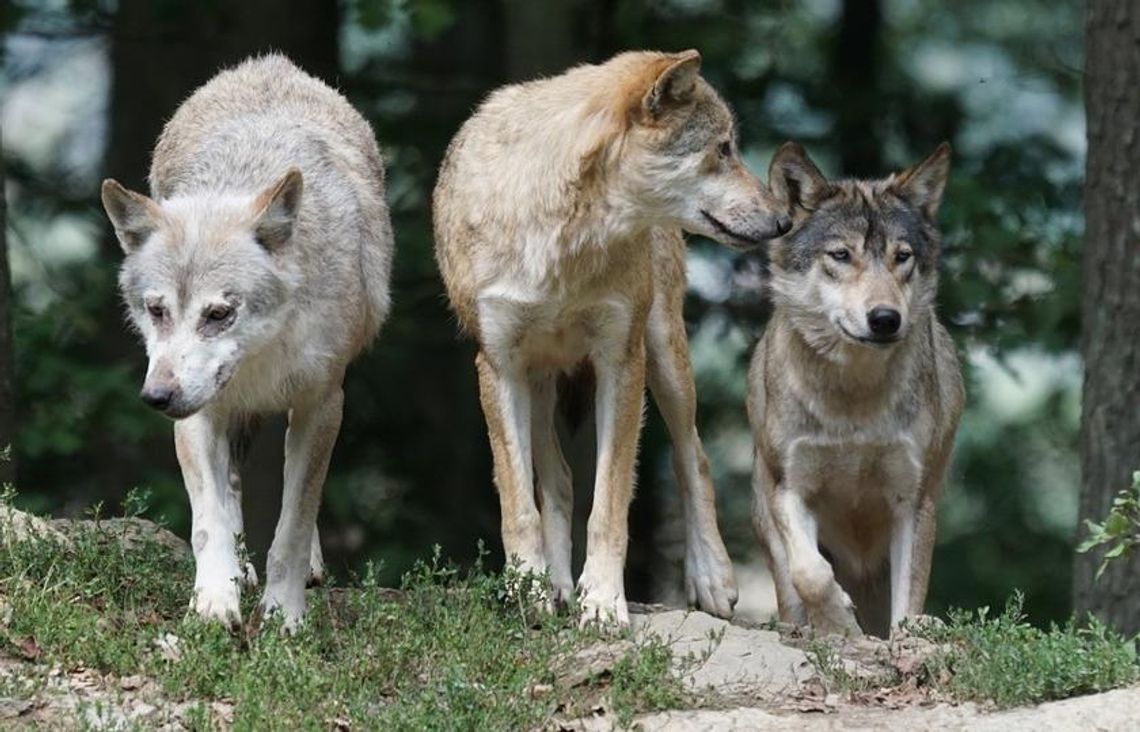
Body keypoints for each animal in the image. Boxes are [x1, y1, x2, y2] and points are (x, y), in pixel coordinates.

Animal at [102, 55, 396, 629]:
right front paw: (215, 601)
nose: (157, 397)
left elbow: (294, 524)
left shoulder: (322, 404)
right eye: (157, 310)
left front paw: (284, 615)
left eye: (219, 313)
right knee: (232, 489)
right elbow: (209, 521)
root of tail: (268, 63)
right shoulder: (198, 414)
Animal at [430, 49, 788, 620]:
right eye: (723, 149)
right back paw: (554, 586)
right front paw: (528, 589)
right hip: (538, 381)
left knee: (693, 456)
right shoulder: (498, 365)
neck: (563, 238)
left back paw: (711, 577)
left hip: (664, 357)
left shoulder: (621, 360)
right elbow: (519, 504)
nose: (783, 220)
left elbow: (610, 504)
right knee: (558, 481)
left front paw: (601, 601)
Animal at [747, 141, 962, 633]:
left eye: (902, 256)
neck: (853, 400)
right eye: (841, 255)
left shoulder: (913, 501)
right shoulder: (790, 487)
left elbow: (909, 600)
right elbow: (810, 573)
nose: (885, 319)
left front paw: (906, 633)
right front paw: (839, 622)